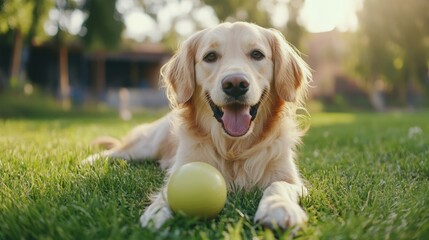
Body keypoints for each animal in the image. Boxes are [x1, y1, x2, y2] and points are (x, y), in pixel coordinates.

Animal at [83, 21, 310, 230]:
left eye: (257, 54)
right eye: (210, 56)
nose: (235, 84)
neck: (233, 148)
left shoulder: (292, 179)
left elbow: (279, 185)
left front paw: (278, 207)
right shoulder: (182, 165)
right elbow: (167, 190)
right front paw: (158, 211)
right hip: (147, 146)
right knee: (116, 151)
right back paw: (89, 161)